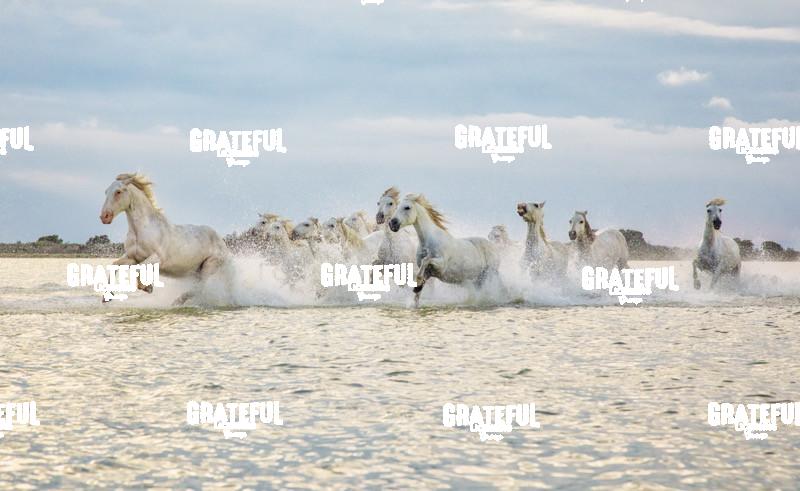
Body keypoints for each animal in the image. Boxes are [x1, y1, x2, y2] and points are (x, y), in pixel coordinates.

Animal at [100, 173, 231, 305]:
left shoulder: (157, 257)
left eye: (118, 192)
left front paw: (148, 287)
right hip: (196, 271)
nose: (104, 217)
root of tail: (222, 243)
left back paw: (177, 302)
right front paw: (107, 296)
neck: (140, 231)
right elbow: (115, 265)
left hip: (210, 265)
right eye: (105, 192)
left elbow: (139, 268)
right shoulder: (132, 257)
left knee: (200, 288)